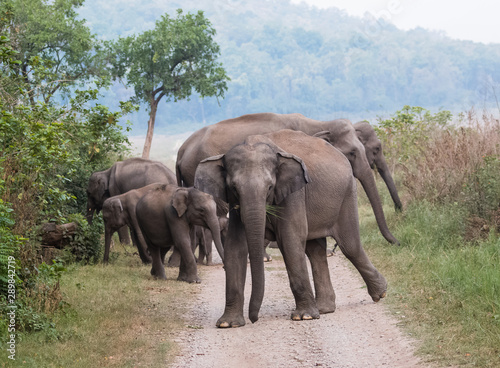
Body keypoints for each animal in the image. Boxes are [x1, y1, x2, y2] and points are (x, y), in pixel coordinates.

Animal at [195, 129, 386, 328]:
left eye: (270, 187)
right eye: (233, 188)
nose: (254, 319)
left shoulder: (293, 194)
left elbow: (289, 240)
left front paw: (304, 317)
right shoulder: (234, 205)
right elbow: (235, 246)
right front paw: (228, 323)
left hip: (347, 194)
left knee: (350, 246)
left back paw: (380, 293)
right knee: (315, 251)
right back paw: (324, 309)